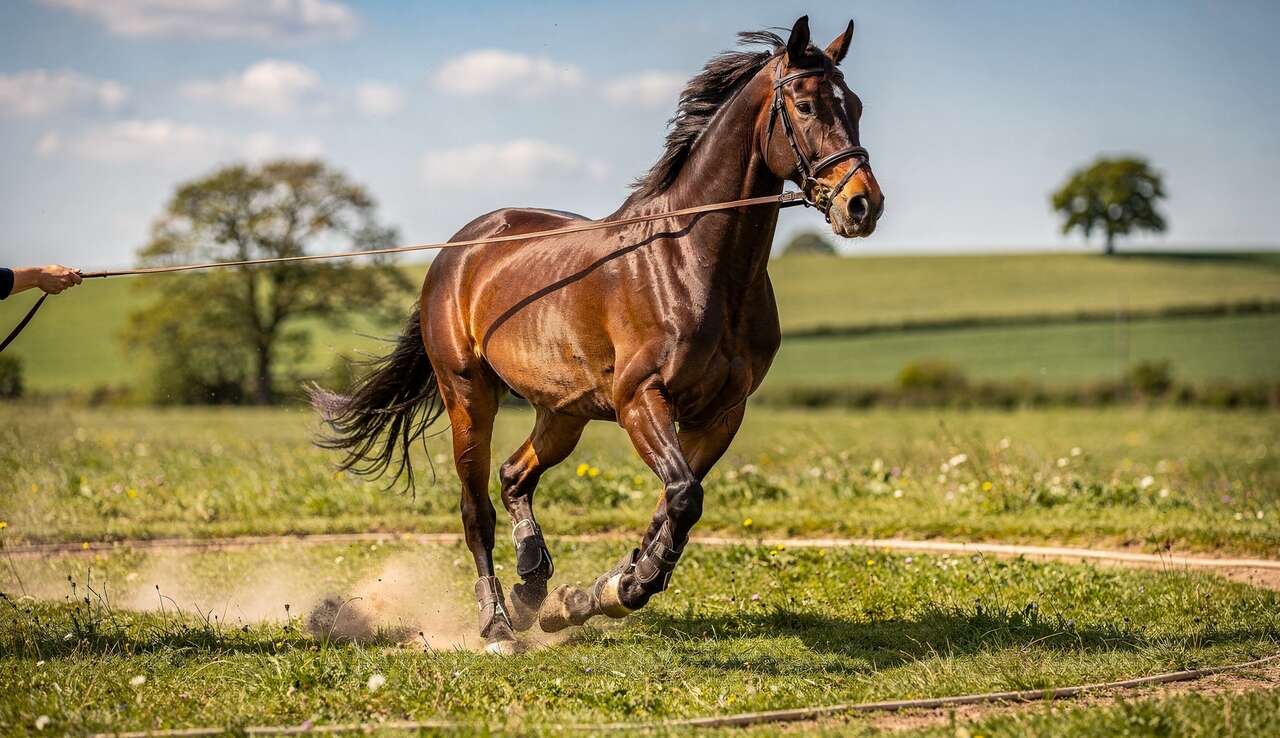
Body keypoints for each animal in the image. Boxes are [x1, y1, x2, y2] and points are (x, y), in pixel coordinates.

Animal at [310, 16, 884, 654]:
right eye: (805, 105)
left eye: (856, 104)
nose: (863, 205)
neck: (690, 262)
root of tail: (457, 250)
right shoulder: (641, 400)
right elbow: (682, 496)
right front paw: (625, 587)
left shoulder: (721, 413)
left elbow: (671, 507)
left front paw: (589, 597)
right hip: (468, 393)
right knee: (475, 505)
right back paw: (498, 623)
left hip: (565, 411)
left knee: (514, 477)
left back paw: (533, 585)